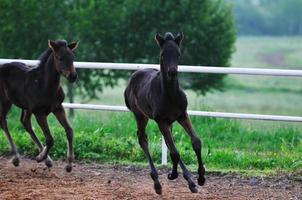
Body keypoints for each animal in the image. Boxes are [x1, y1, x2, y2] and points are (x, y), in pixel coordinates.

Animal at [0, 39, 79, 172]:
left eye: (72, 57)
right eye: (60, 58)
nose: (73, 76)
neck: (44, 85)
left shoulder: (58, 108)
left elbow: (69, 131)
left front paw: (68, 164)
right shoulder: (39, 112)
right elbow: (50, 139)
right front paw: (40, 158)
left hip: (26, 107)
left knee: (25, 122)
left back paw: (47, 160)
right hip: (5, 102)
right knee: (3, 122)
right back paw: (16, 158)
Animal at [124, 32, 205, 194]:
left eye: (178, 54)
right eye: (162, 54)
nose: (172, 72)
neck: (170, 95)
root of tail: (132, 78)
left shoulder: (182, 115)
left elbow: (196, 142)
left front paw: (200, 178)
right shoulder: (161, 121)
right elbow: (174, 152)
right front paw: (178, 176)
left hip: (168, 122)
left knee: (168, 142)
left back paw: (187, 179)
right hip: (140, 115)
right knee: (143, 139)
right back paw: (157, 183)